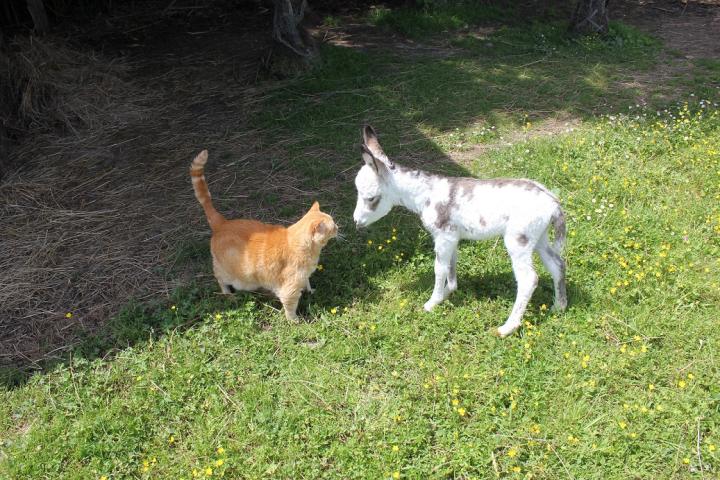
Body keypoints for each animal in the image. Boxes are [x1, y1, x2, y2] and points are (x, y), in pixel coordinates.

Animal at [190, 150, 338, 320]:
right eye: (333, 225)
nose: (338, 227)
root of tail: (222, 223)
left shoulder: (304, 277)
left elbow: (307, 283)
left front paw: (310, 291)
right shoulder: (289, 290)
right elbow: (290, 308)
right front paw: (295, 321)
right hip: (233, 276)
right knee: (220, 279)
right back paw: (228, 294)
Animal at [354, 127, 568, 338]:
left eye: (371, 198)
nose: (356, 222)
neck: (425, 195)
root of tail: (553, 203)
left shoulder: (443, 237)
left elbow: (439, 268)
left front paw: (432, 302)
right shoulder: (452, 238)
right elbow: (451, 266)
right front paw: (449, 291)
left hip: (518, 240)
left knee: (528, 279)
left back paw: (507, 328)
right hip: (539, 238)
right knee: (556, 265)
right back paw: (559, 306)